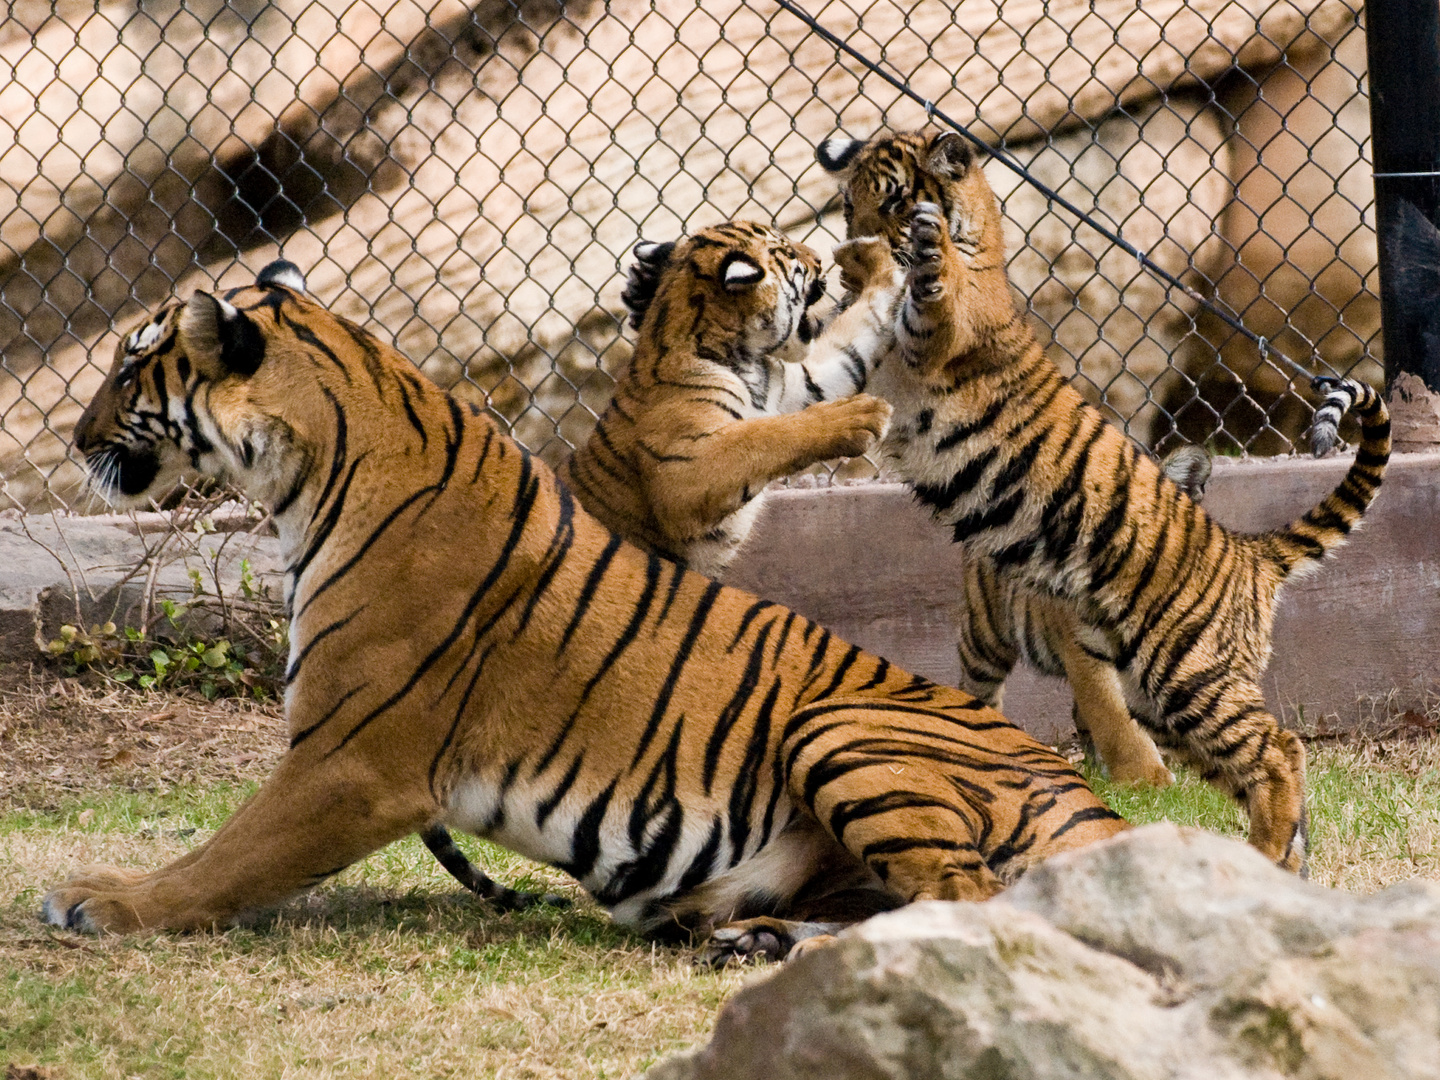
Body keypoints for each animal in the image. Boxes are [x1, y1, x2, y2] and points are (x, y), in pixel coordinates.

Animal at [42, 257, 1123, 961]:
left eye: (130, 369)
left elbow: (224, 859)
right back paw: (756, 937)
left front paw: (99, 902)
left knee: (970, 902)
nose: (75, 438)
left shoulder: (354, 758)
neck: (309, 472)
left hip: (840, 726)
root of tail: (1099, 809)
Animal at [555, 220, 892, 584]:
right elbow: (766, 435)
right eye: (790, 254)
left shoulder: (804, 384)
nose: (818, 258)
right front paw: (862, 414)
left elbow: (861, 329)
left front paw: (872, 256)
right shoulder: (678, 470)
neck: (747, 359)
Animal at [817, 126, 1388, 875]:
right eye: (847, 204)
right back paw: (1280, 861)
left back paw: (1266, 854)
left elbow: (932, 296)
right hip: (1160, 689)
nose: (850, 247)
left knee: (1278, 749)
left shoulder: (941, 337)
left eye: (888, 201)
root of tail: (1248, 550)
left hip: (1187, 670)